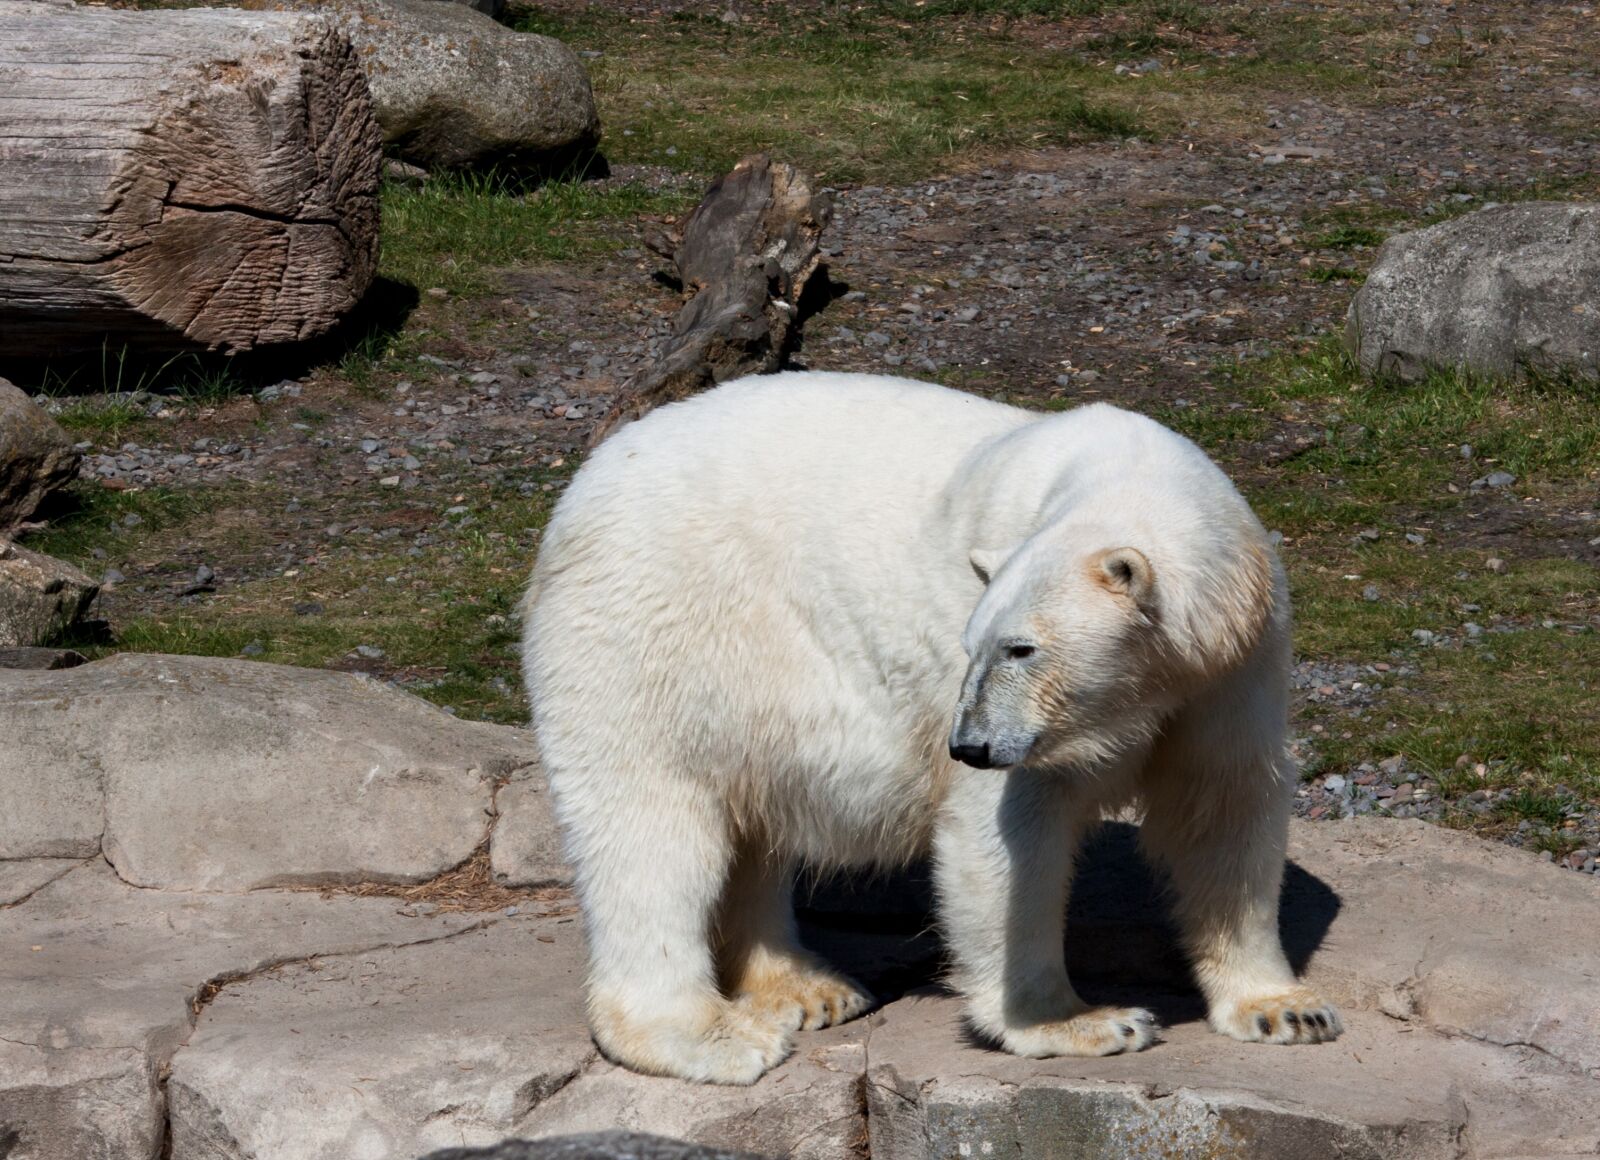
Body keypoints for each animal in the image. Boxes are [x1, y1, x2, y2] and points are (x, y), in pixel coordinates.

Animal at [521, 371, 1341, 1085]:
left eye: (1021, 648)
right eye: (974, 644)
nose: (968, 745)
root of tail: (583, 484)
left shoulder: (1234, 662)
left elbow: (1222, 805)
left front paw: (1287, 1010)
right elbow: (1009, 836)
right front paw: (1083, 1021)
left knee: (750, 813)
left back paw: (808, 988)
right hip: (651, 627)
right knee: (651, 826)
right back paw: (708, 1036)